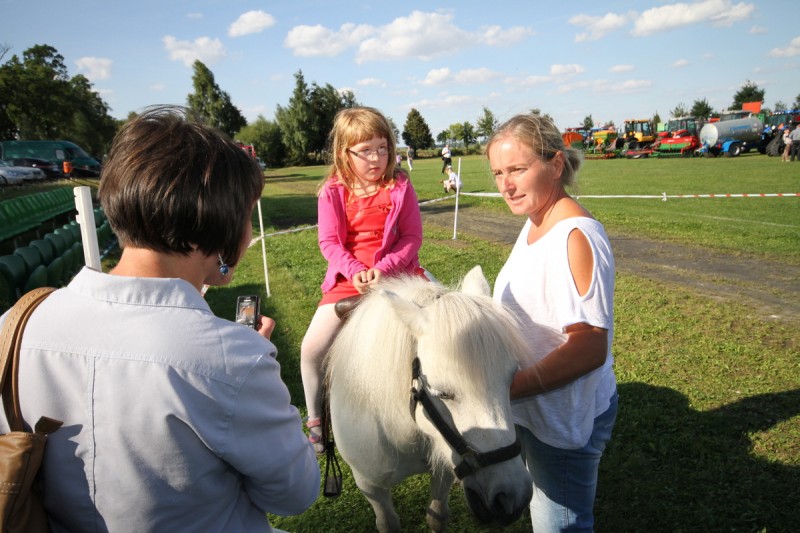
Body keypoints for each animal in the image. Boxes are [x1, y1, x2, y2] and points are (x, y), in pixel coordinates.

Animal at [328, 266, 536, 532]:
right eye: (442, 393)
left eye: (511, 380)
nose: (511, 497)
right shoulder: (370, 487)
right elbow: (388, 522)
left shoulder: (445, 470)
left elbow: (437, 516)